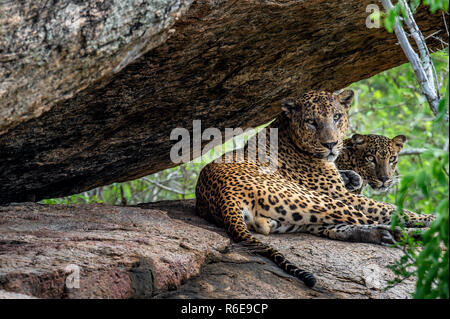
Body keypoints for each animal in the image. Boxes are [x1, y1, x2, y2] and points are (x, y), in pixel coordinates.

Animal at [195, 89, 434, 288]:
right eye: (311, 121)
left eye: (336, 117)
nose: (330, 144)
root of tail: (223, 197)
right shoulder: (341, 195)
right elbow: (390, 209)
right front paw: (429, 218)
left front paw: (352, 176)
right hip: (315, 199)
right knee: (370, 220)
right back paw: (416, 233)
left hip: (293, 218)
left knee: (336, 227)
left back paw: (383, 235)